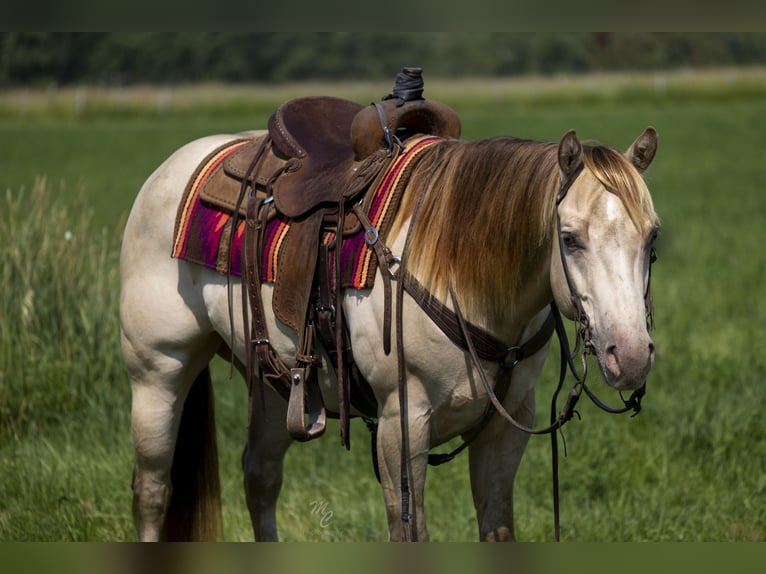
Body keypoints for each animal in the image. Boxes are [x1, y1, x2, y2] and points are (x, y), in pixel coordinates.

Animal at [120, 122, 660, 544]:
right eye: (569, 239)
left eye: (653, 237)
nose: (631, 357)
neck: (459, 271)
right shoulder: (403, 423)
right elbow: (409, 533)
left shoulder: (507, 426)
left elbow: (498, 527)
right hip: (157, 374)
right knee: (152, 490)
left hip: (276, 382)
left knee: (260, 478)